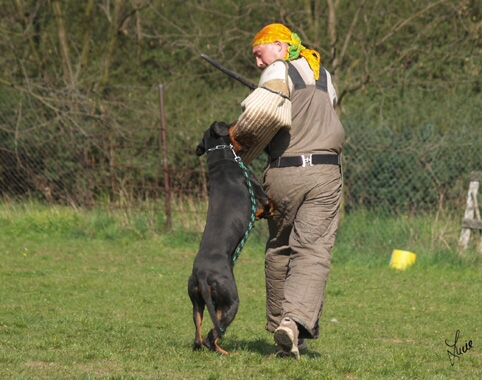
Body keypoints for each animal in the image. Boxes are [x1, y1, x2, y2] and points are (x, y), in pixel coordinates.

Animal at [186, 120, 274, 354]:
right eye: (227, 124)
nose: (236, 120)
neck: (223, 160)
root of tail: (202, 274)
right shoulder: (257, 187)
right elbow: (269, 202)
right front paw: (267, 212)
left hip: (197, 301)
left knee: (198, 335)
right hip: (230, 301)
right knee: (212, 335)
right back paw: (225, 352)